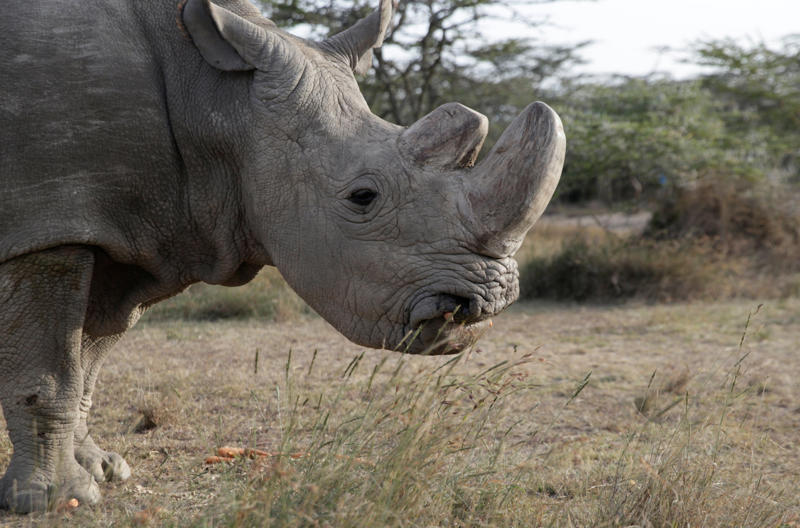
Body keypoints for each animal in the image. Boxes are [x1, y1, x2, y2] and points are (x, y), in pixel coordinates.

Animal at [0, 0, 565, 512]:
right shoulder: (48, 222)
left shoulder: (124, 229)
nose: (488, 301)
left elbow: (88, 361)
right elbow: (50, 374)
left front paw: (101, 470)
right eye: (363, 197)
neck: (217, 97)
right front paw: (56, 500)